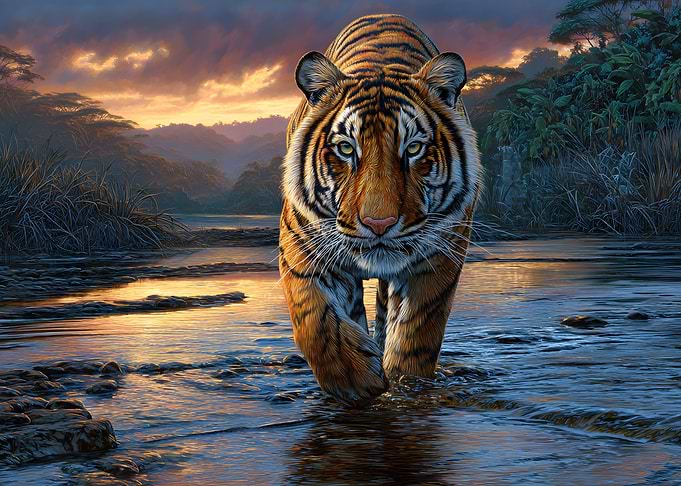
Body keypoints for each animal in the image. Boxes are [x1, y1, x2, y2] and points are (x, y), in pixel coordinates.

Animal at [279, 13, 481, 406]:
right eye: (345, 148)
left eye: (413, 148)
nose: (379, 224)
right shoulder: (302, 248)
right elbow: (311, 317)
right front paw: (355, 378)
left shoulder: (441, 254)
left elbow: (418, 333)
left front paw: (406, 387)